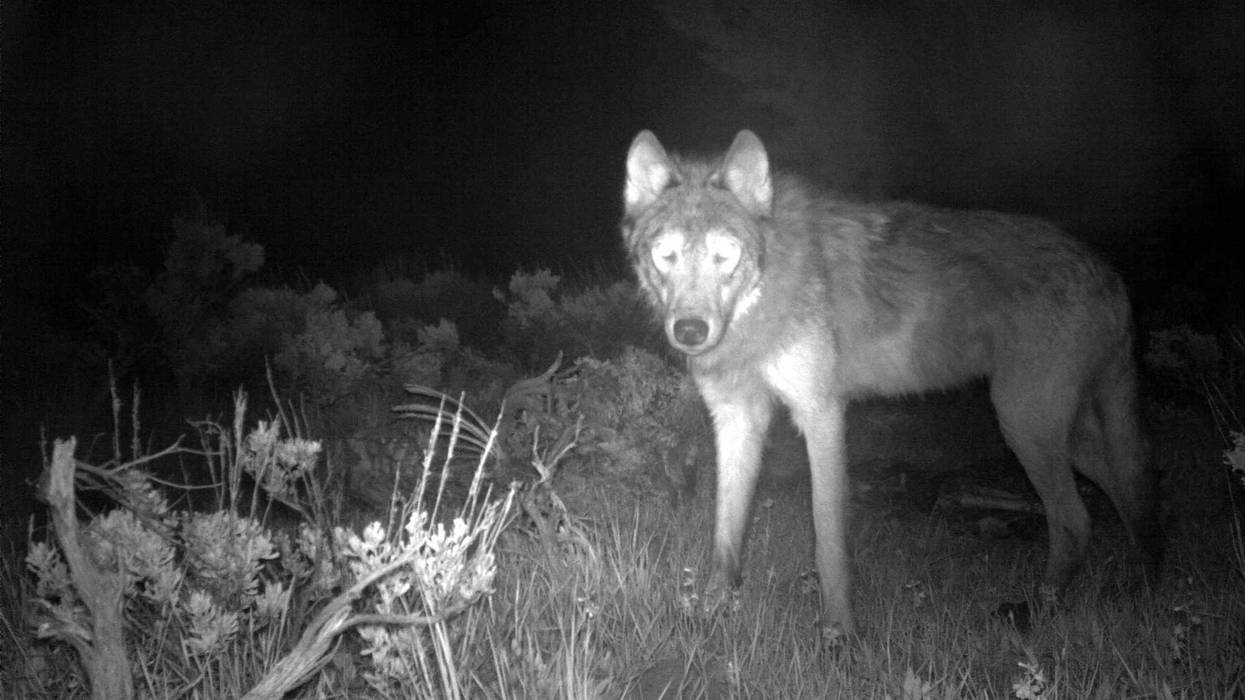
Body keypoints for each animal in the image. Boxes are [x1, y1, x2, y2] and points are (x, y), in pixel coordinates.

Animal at [620, 129, 1160, 636]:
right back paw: (1138, 586)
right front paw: (710, 613)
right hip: (1061, 435)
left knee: (1076, 519)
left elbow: (828, 542)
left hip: (1024, 423)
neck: (763, 299)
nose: (690, 331)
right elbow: (725, 535)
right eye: (666, 255)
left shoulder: (821, 414)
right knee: (1130, 497)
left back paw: (1039, 611)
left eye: (724, 254)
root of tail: (1108, 271)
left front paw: (840, 633)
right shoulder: (737, 419)